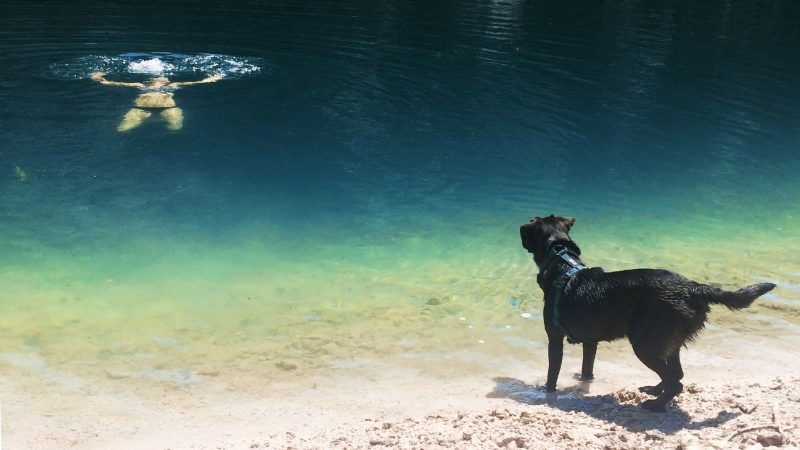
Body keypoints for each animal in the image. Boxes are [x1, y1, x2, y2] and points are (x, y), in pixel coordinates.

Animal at [520, 215, 776, 412]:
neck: (563, 266)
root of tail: (693, 287)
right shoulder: (591, 342)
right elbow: (587, 369)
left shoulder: (555, 338)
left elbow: (552, 373)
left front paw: (547, 392)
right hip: (669, 342)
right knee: (677, 374)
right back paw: (655, 391)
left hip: (645, 344)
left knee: (676, 382)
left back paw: (655, 404)